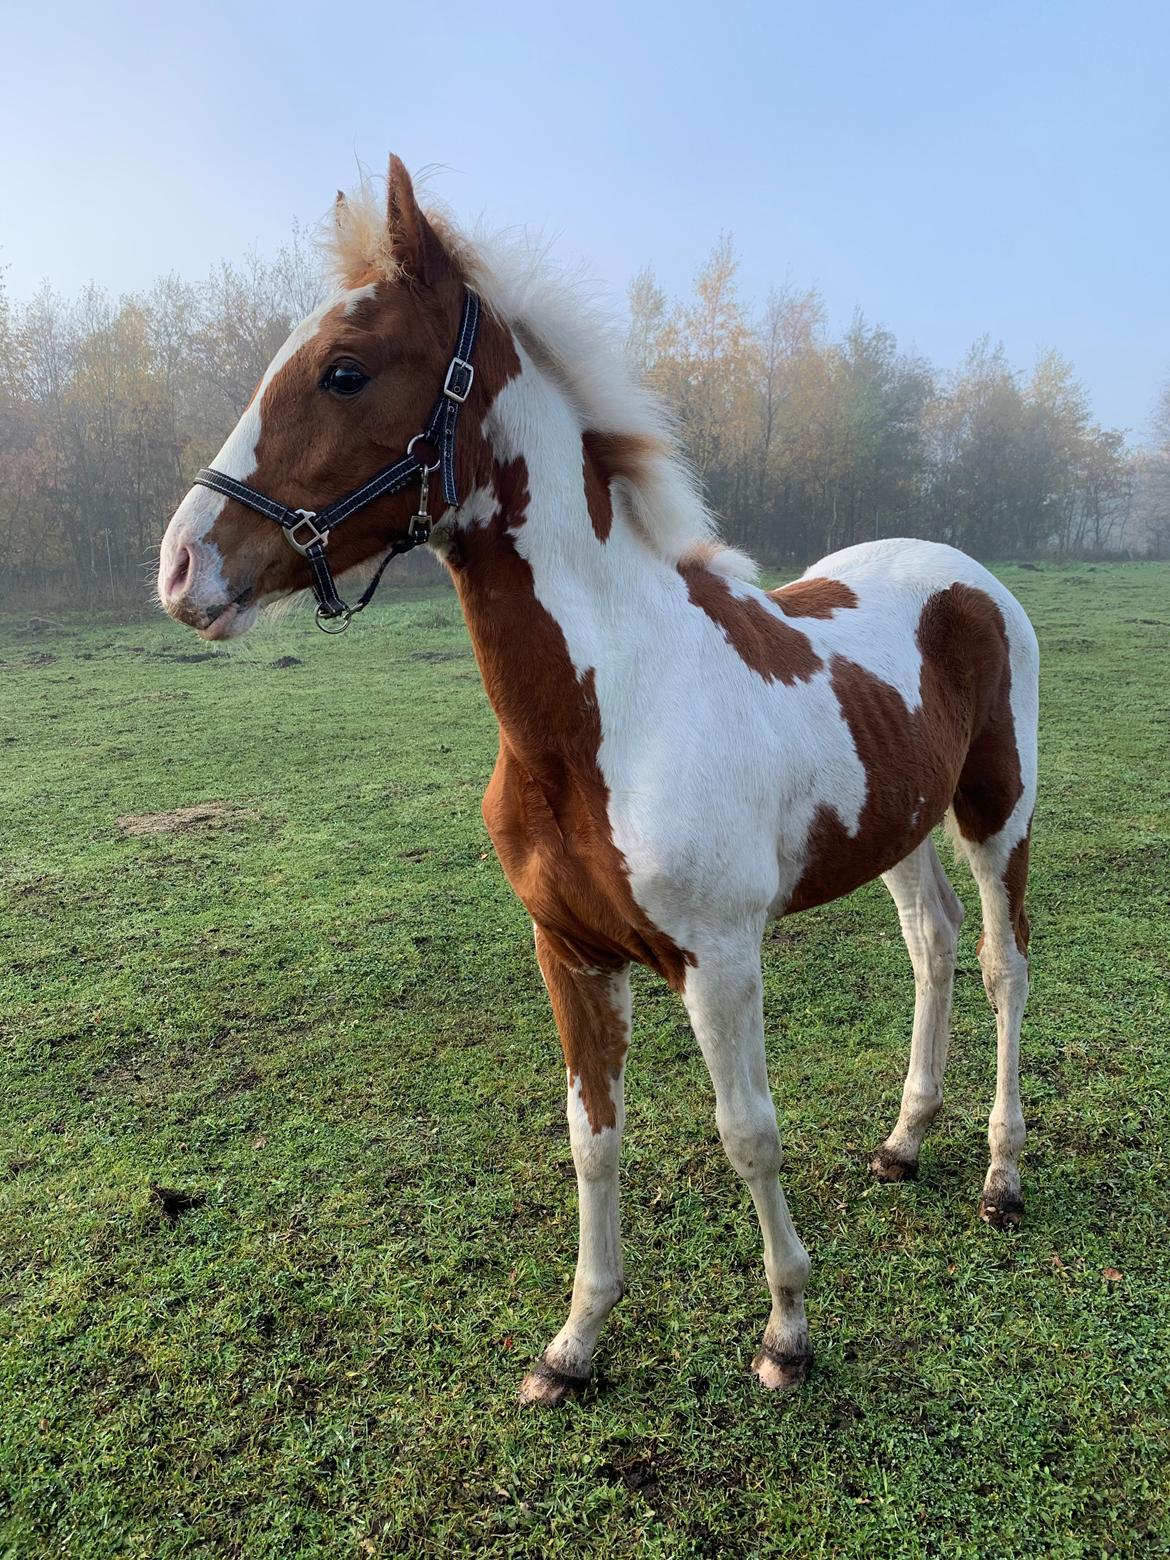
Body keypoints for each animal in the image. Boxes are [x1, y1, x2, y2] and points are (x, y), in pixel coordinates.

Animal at [158, 158, 1042, 1404]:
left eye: (345, 370)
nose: (183, 568)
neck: (609, 705)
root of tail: (965, 576)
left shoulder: (718, 960)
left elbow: (747, 1132)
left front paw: (787, 1332)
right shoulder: (569, 953)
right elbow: (593, 1138)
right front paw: (574, 1344)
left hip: (997, 810)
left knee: (1004, 963)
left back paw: (1003, 1175)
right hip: (899, 829)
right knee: (933, 947)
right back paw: (906, 1141)